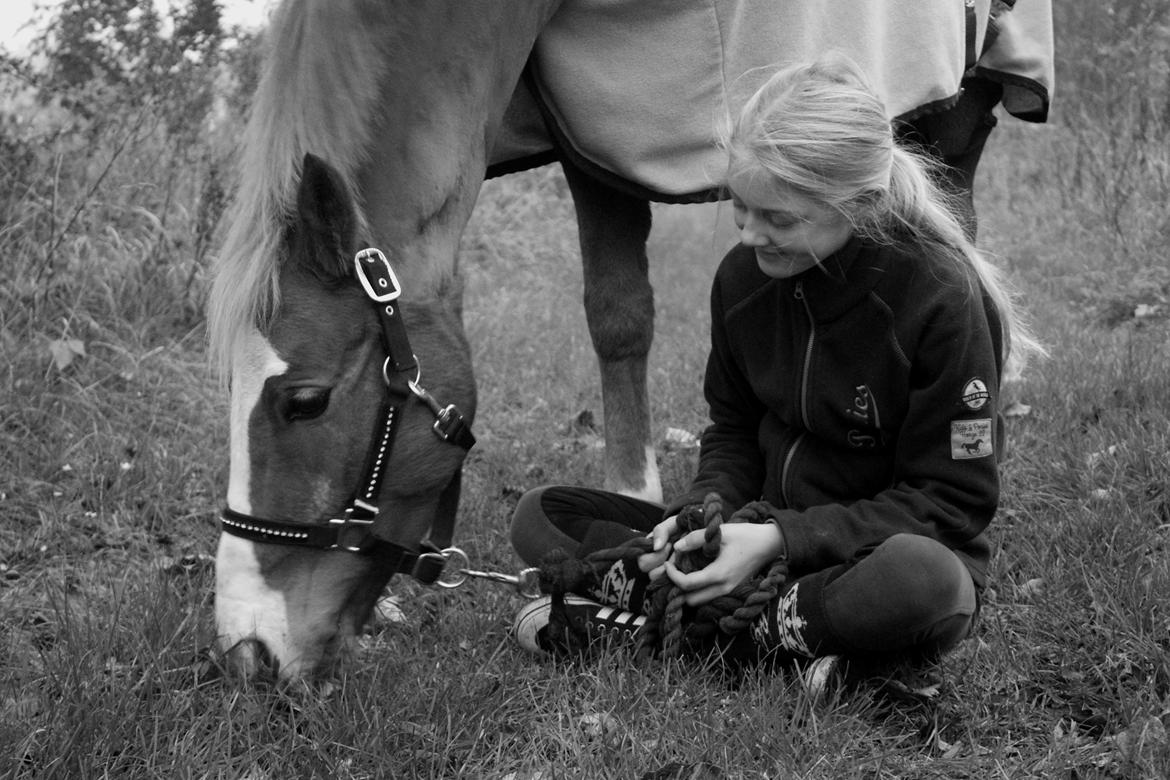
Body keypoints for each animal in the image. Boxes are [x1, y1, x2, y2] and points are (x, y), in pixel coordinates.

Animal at [208, 0, 1053, 678]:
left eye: (304, 401)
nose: (248, 653)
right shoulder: (592, 129)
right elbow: (616, 313)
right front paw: (636, 506)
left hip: (963, 94)